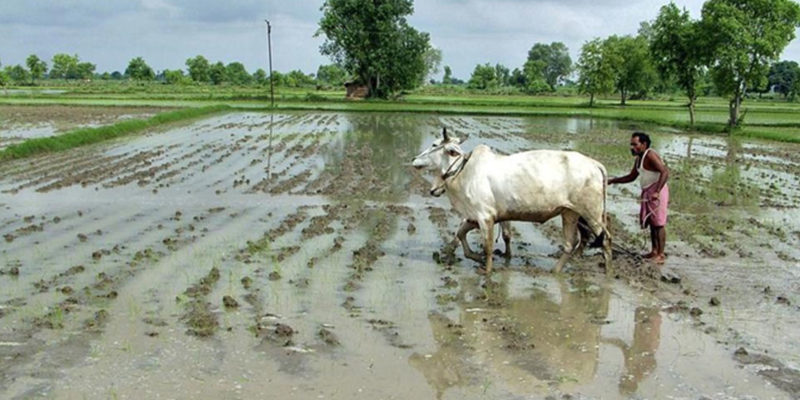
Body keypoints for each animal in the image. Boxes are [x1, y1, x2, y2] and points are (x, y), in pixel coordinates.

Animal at [412, 128, 612, 274]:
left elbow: (488, 247)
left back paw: (608, 272)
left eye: (434, 144)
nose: (414, 159)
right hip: (570, 213)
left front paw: (487, 271)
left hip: (592, 214)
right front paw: (474, 256)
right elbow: (460, 234)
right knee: (571, 243)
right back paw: (555, 271)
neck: (463, 171)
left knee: (605, 240)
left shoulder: (485, 217)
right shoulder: (475, 217)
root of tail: (595, 164)